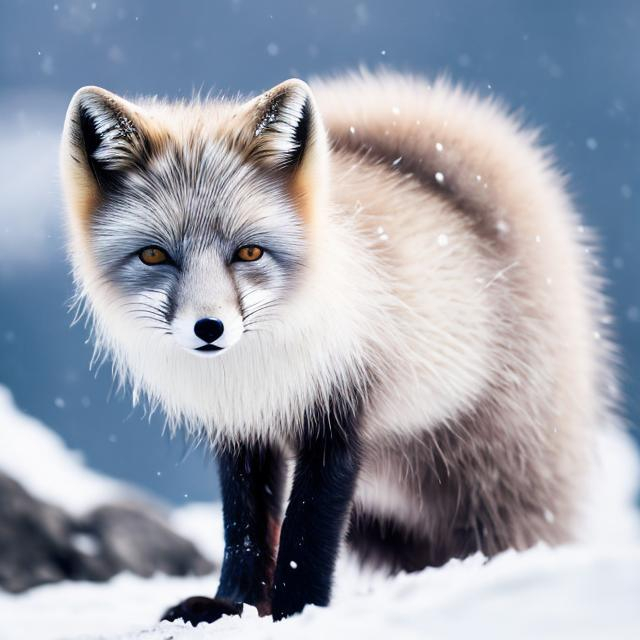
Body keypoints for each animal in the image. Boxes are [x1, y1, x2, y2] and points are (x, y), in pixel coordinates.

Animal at [61, 72, 616, 624]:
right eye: (154, 256)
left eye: (249, 252)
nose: (209, 328)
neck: (255, 373)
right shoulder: (243, 433)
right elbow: (247, 531)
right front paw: (233, 605)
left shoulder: (338, 419)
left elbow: (307, 534)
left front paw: (296, 612)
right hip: (384, 523)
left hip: (493, 481)